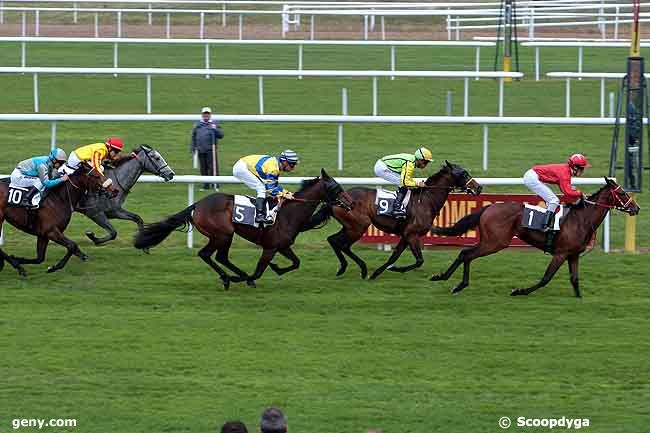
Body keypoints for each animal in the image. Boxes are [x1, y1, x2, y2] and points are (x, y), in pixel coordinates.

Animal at [134, 168, 352, 286]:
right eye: (336, 187)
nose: (350, 203)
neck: (289, 214)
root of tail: (197, 205)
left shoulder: (282, 246)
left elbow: (296, 262)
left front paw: (276, 268)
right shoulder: (270, 247)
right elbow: (259, 271)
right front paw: (250, 277)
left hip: (222, 236)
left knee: (219, 257)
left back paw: (231, 276)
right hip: (223, 234)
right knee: (209, 255)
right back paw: (229, 278)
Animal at [306, 160, 480, 278]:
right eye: (464, 174)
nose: (478, 187)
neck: (426, 200)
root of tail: (336, 199)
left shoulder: (406, 235)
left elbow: (393, 257)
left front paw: (378, 272)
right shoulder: (411, 234)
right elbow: (419, 260)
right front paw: (396, 269)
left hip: (350, 226)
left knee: (333, 240)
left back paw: (344, 268)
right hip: (359, 225)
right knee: (342, 244)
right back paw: (361, 269)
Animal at [430, 176, 636, 296]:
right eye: (622, 193)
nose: (637, 208)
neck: (582, 219)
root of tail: (489, 207)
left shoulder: (573, 255)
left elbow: (575, 279)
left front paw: (579, 299)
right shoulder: (560, 253)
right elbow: (545, 278)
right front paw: (520, 291)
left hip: (491, 241)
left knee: (465, 253)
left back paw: (448, 279)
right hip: (495, 242)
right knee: (467, 254)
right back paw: (454, 283)